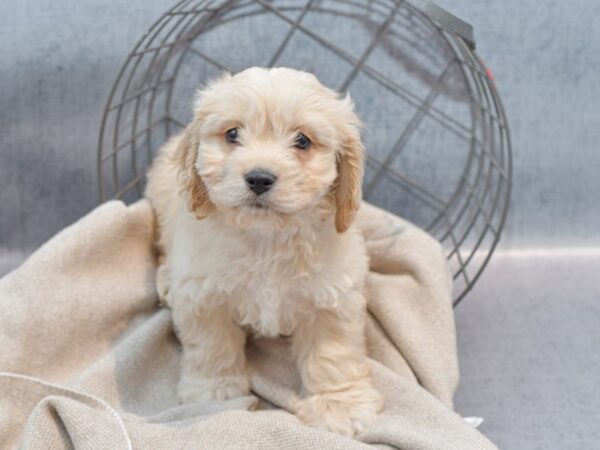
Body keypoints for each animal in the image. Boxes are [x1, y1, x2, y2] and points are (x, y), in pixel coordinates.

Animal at [144, 67, 382, 436]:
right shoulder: (203, 295)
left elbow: (334, 354)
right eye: (232, 134)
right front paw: (215, 389)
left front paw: (340, 406)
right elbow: (211, 345)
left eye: (303, 141)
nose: (258, 178)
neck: (266, 237)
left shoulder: (332, 296)